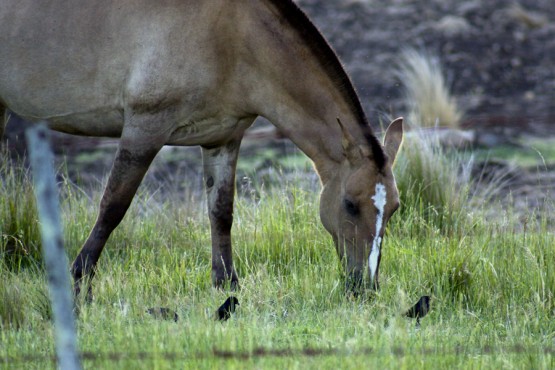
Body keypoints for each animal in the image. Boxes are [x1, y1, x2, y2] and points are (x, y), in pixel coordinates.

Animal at [2, 0, 406, 294]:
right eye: (350, 205)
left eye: (394, 209)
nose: (365, 287)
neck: (232, 35)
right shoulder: (144, 129)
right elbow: (113, 206)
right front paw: (80, 281)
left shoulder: (222, 140)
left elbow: (221, 212)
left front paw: (226, 284)